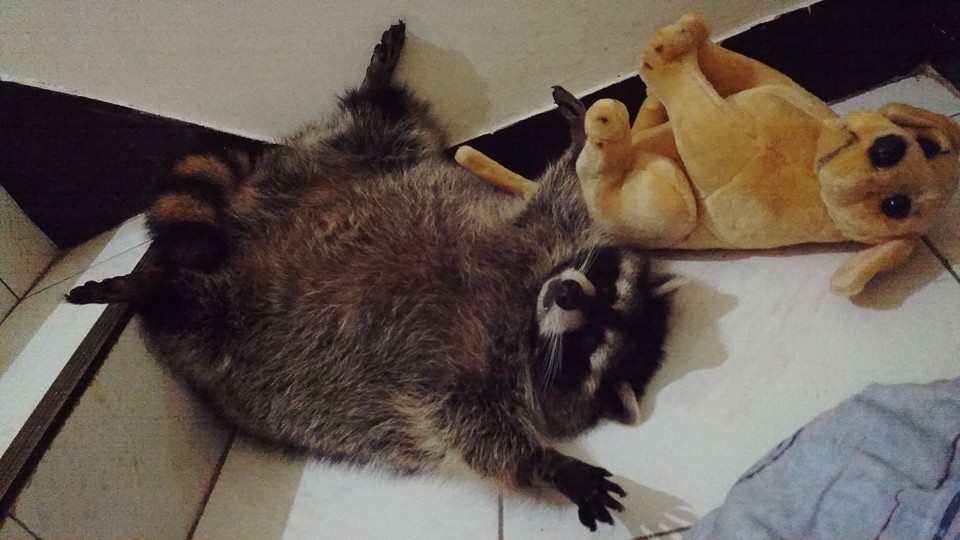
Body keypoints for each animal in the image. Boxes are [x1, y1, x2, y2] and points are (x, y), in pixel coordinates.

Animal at [68, 22, 674, 530]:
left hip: (232, 330)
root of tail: (247, 222)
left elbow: (474, 435)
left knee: (198, 308)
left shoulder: (467, 378)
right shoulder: (532, 238)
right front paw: (579, 141)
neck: (526, 307)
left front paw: (545, 463)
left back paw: (157, 290)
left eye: (591, 346)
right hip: (346, 160)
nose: (568, 292)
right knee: (377, 124)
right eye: (602, 285)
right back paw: (375, 86)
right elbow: (562, 194)